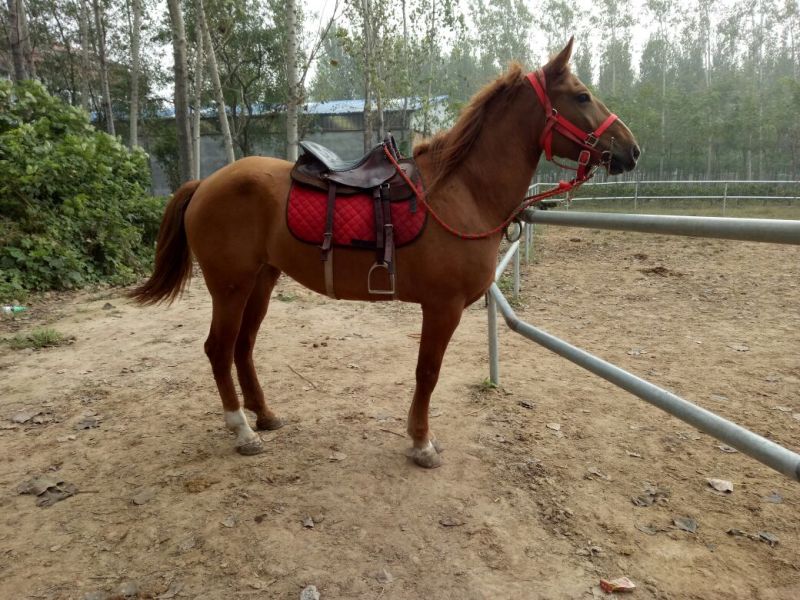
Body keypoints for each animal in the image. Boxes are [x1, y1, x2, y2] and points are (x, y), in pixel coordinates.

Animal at [131, 39, 639, 467]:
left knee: (243, 347)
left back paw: (266, 416)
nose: (632, 150)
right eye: (581, 96)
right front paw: (421, 443)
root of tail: (205, 184)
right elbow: (427, 373)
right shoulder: (442, 308)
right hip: (230, 285)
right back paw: (243, 432)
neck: (461, 192)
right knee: (218, 349)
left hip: (261, 280)